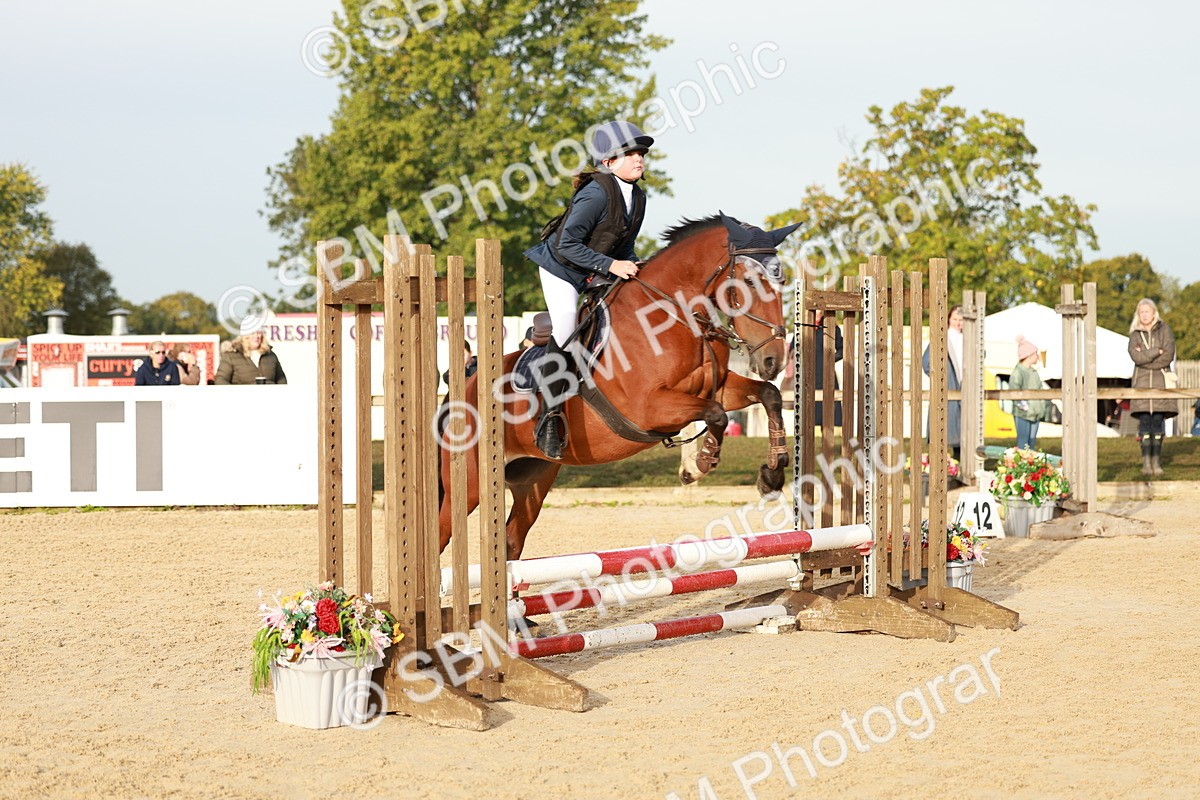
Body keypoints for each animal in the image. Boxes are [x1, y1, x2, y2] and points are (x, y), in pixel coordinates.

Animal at [438, 213, 801, 559]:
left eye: (781, 281)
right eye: (750, 281)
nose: (773, 360)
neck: (675, 315)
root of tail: (462, 390)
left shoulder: (717, 387)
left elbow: (767, 395)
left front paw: (773, 473)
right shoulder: (650, 407)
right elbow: (716, 415)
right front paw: (696, 467)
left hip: (533, 480)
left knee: (512, 540)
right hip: (469, 486)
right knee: (441, 535)